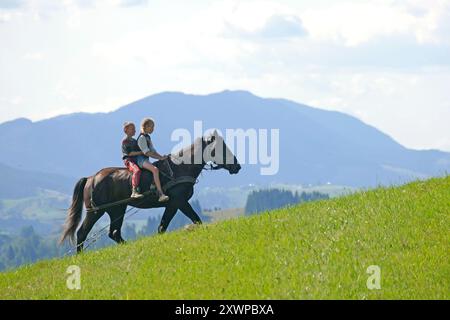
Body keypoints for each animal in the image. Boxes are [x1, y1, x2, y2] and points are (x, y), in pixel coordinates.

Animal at [62, 130, 243, 252]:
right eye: (220, 149)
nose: (237, 166)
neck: (179, 169)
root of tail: (91, 178)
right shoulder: (179, 202)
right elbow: (190, 221)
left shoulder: (175, 204)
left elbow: (167, 226)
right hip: (95, 211)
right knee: (82, 233)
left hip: (117, 210)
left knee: (114, 233)